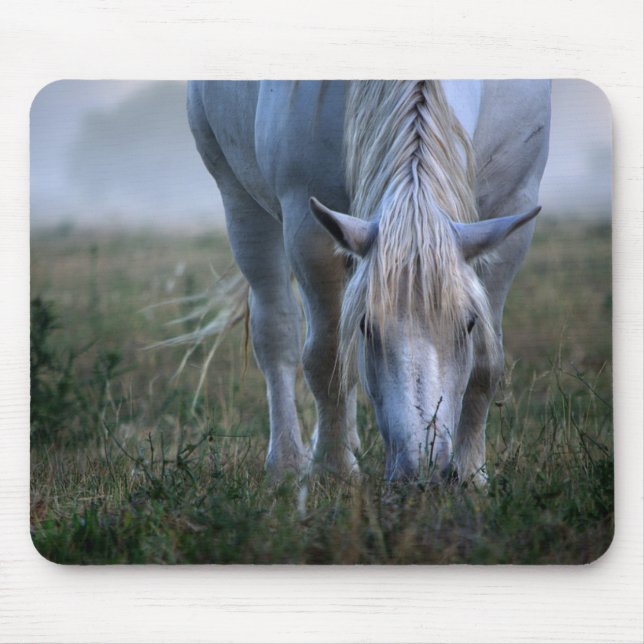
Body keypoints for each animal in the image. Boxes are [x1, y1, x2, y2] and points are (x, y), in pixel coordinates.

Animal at [187, 80, 551, 484]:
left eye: (468, 324)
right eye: (367, 326)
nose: (421, 472)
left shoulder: (513, 209)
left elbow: (487, 362)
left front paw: (472, 475)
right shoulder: (307, 225)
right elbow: (327, 355)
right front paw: (334, 471)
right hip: (242, 202)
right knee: (277, 332)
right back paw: (287, 463)